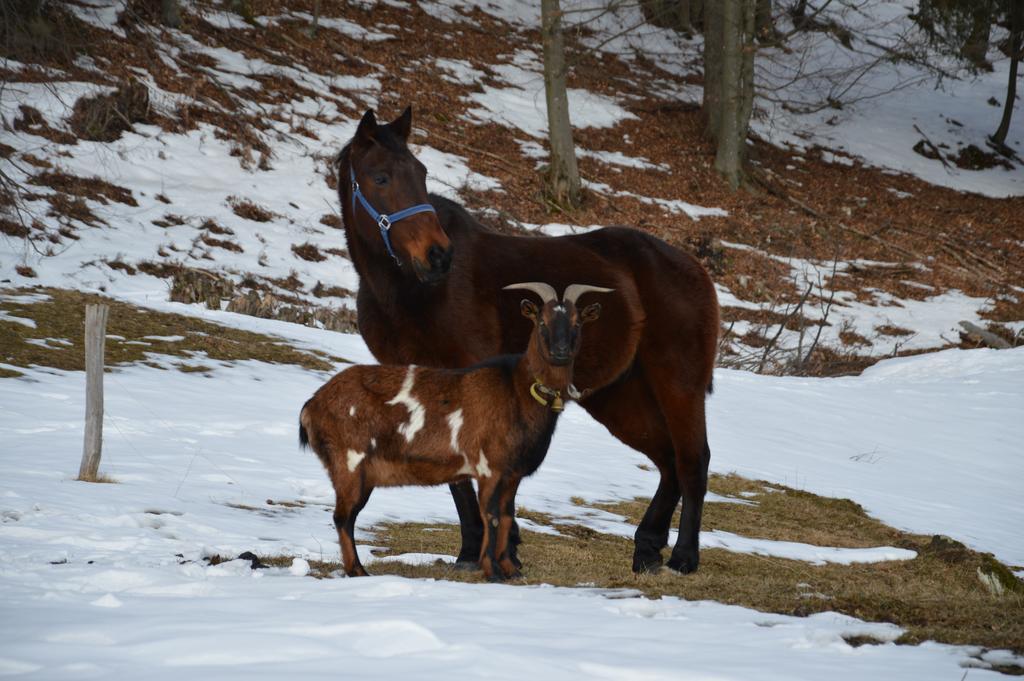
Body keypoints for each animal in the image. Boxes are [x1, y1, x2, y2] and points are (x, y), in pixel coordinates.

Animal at [299, 282, 610, 577]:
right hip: (350, 463)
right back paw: (358, 570)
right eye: (542, 321)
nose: (561, 352)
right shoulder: (488, 466)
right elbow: (491, 516)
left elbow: (506, 516)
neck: (516, 389)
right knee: (343, 517)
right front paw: (492, 571)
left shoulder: (512, 473)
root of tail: (312, 405)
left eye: (577, 323)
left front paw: (510, 570)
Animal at [337, 107, 720, 573]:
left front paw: (503, 548)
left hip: (678, 383)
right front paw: (470, 551)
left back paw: (684, 556)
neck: (413, 291)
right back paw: (647, 547)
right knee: (667, 461)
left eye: (421, 173)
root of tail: (693, 267)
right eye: (380, 177)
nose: (438, 255)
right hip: (619, 395)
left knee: (692, 460)